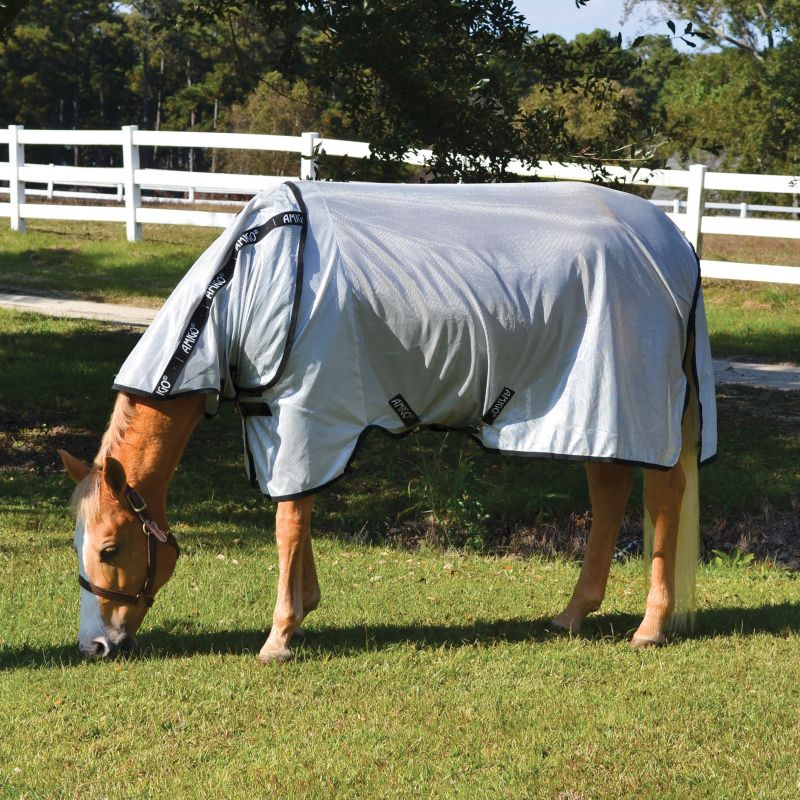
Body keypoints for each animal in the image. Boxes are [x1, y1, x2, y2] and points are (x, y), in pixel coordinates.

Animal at [59, 180, 716, 661]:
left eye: (111, 548)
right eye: (77, 544)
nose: (94, 647)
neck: (247, 282)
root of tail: (672, 243)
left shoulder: (307, 416)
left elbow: (287, 522)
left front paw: (279, 636)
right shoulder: (289, 427)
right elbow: (299, 514)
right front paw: (304, 606)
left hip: (636, 406)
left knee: (663, 497)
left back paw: (650, 627)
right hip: (596, 412)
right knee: (609, 491)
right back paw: (573, 614)